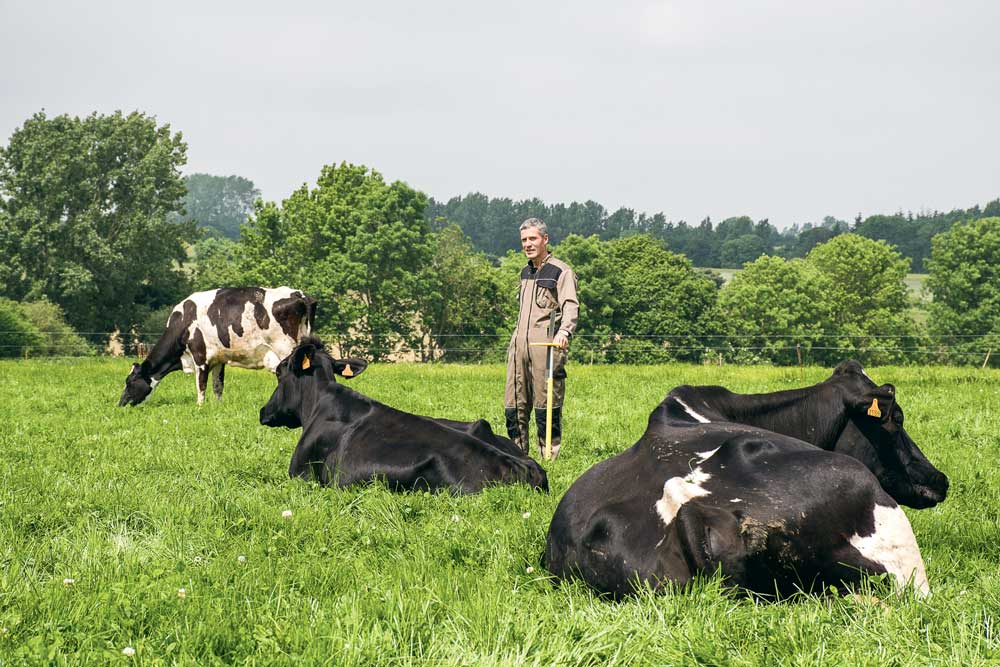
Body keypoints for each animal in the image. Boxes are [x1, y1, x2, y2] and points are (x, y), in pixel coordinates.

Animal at [120, 288, 316, 408]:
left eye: (129, 382)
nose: (120, 404)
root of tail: (299, 295)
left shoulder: (200, 357)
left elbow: (201, 385)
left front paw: (199, 407)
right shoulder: (218, 359)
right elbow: (217, 385)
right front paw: (218, 406)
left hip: (286, 349)